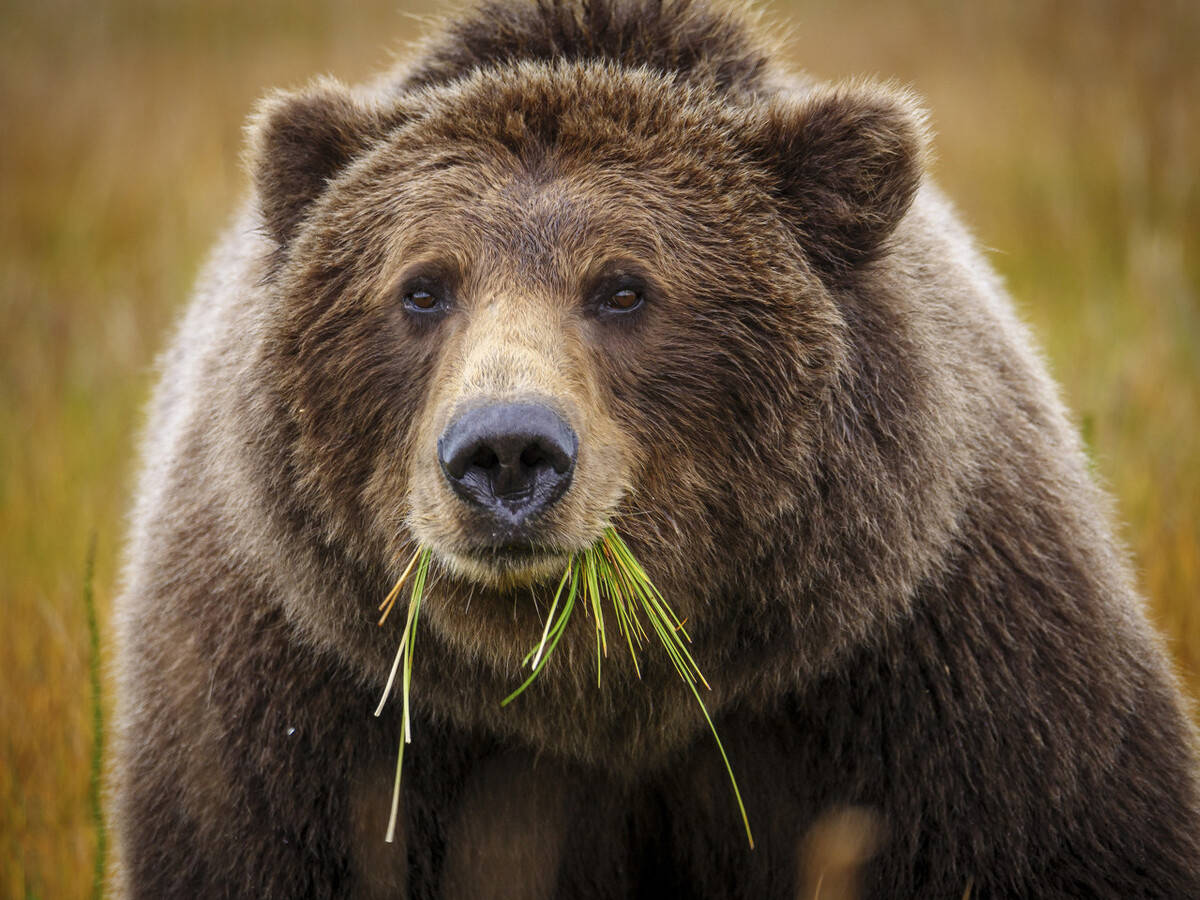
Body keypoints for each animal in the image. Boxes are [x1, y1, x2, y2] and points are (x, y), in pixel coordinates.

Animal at [112, 0, 1200, 897]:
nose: (507, 453)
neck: (600, 688)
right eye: (422, 287)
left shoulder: (940, 673)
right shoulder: (303, 710)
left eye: (624, 287)